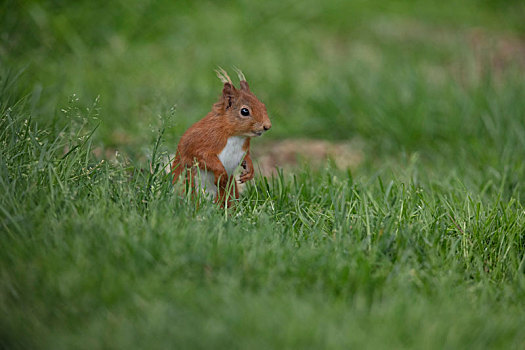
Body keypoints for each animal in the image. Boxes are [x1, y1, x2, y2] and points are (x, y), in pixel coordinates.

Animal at [171, 67, 272, 206]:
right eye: (244, 111)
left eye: (263, 105)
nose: (267, 126)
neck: (235, 135)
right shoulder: (201, 142)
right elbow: (203, 156)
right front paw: (221, 173)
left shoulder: (244, 149)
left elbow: (247, 156)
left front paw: (250, 171)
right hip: (188, 182)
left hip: (230, 190)